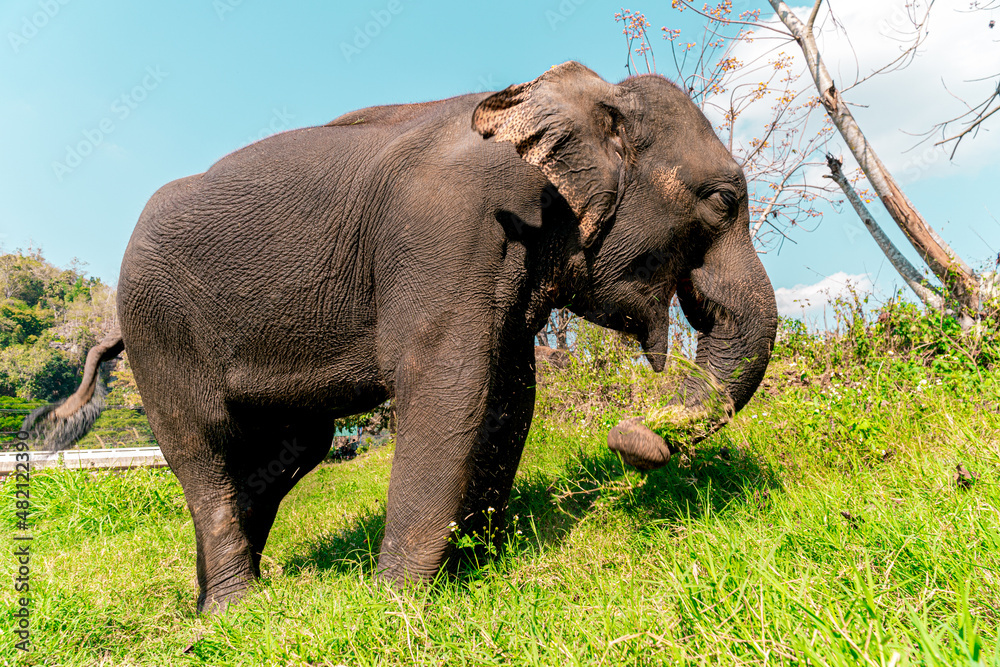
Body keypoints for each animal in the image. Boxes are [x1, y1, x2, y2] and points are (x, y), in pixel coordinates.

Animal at [25, 61, 778, 612]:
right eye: (721, 201)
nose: (634, 438)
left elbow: (509, 396)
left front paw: (476, 570)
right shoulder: (446, 229)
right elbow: (449, 384)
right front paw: (399, 604)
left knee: (287, 451)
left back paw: (216, 602)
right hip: (160, 325)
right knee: (203, 446)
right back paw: (234, 611)